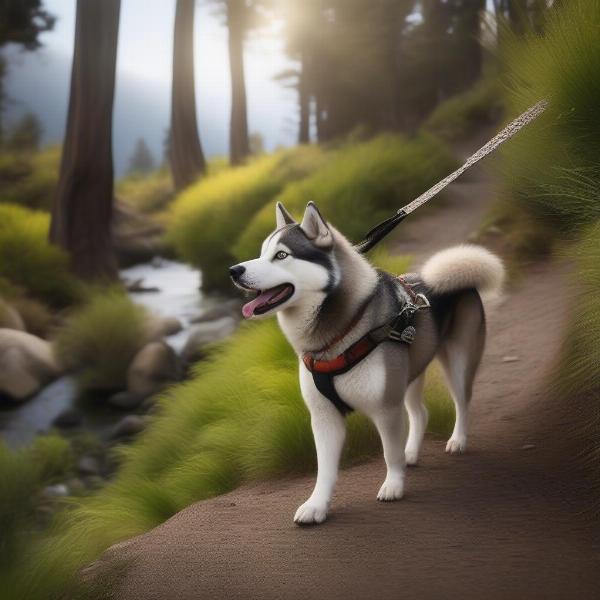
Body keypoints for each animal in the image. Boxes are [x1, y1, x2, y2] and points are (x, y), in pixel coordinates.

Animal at [229, 203, 502, 524]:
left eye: (282, 255)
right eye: (261, 253)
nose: (234, 271)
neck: (338, 335)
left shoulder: (386, 408)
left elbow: (389, 453)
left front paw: (393, 485)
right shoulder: (324, 417)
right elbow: (324, 470)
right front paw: (316, 505)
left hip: (457, 363)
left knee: (462, 402)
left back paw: (457, 440)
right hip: (409, 374)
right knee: (420, 413)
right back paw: (411, 453)